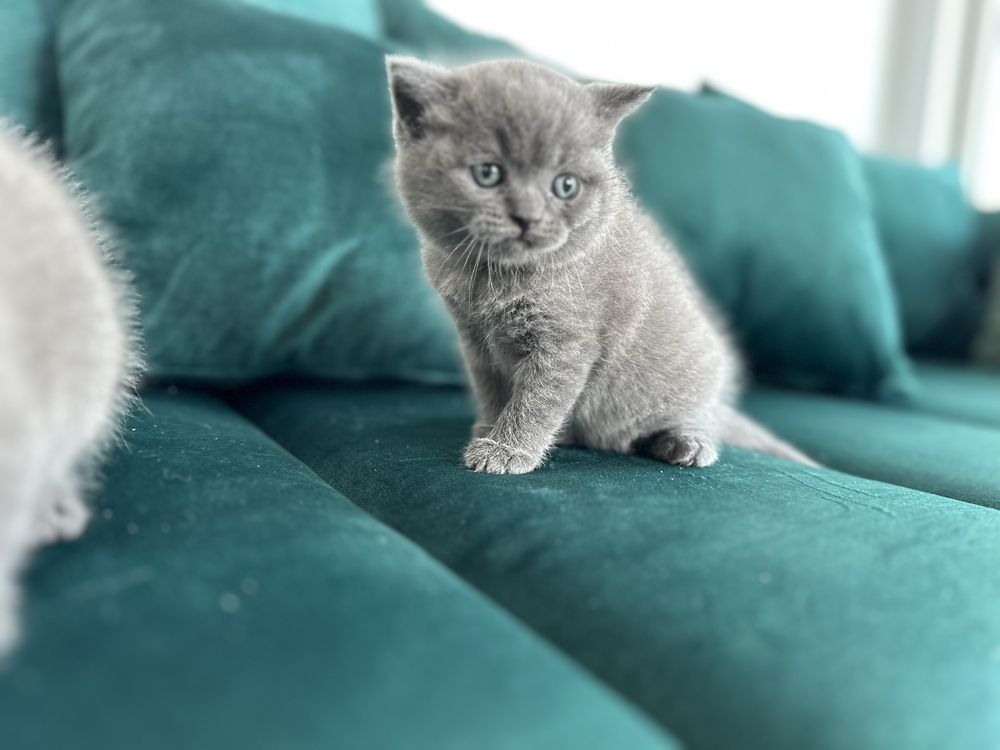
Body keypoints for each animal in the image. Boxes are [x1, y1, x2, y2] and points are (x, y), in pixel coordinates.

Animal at [382, 55, 812, 472]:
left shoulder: (568, 342)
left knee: (698, 416)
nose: (528, 217)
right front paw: (486, 430)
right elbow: (490, 390)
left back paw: (686, 442)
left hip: (700, 374)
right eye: (487, 173)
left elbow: (538, 400)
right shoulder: (475, 341)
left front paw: (507, 449)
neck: (496, 276)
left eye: (565, 185)